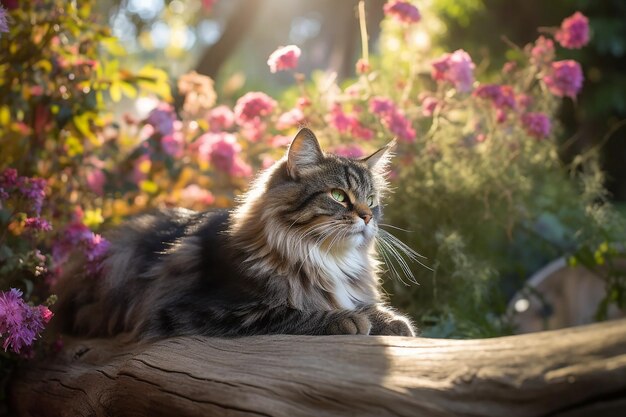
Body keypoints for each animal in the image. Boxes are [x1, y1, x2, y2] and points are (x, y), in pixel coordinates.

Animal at [53, 128, 414, 340]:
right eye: (338, 196)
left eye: (372, 201)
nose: (367, 217)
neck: (322, 256)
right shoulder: (206, 310)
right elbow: (293, 310)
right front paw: (348, 319)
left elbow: (366, 306)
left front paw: (393, 321)